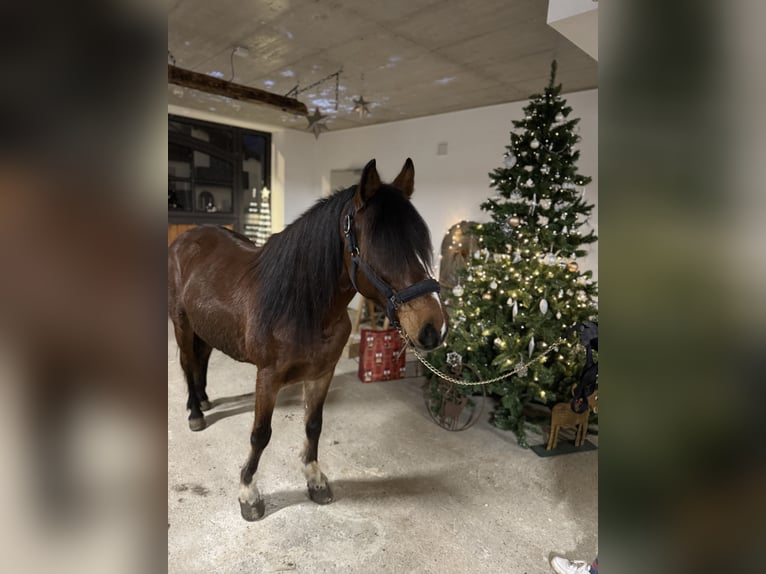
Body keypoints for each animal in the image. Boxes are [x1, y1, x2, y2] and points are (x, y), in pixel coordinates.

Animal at [165, 158, 448, 520]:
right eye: (380, 247)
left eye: (422, 242)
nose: (432, 328)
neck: (304, 307)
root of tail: (186, 238)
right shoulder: (267, 377)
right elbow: (261, 434)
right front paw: (248, 492)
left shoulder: (322, 373)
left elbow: (314, 424)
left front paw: (315, 479)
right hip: (183, 325)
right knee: (188, 364)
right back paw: (195, 413)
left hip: (207, 329)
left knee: (201, 360)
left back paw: (202, 400)